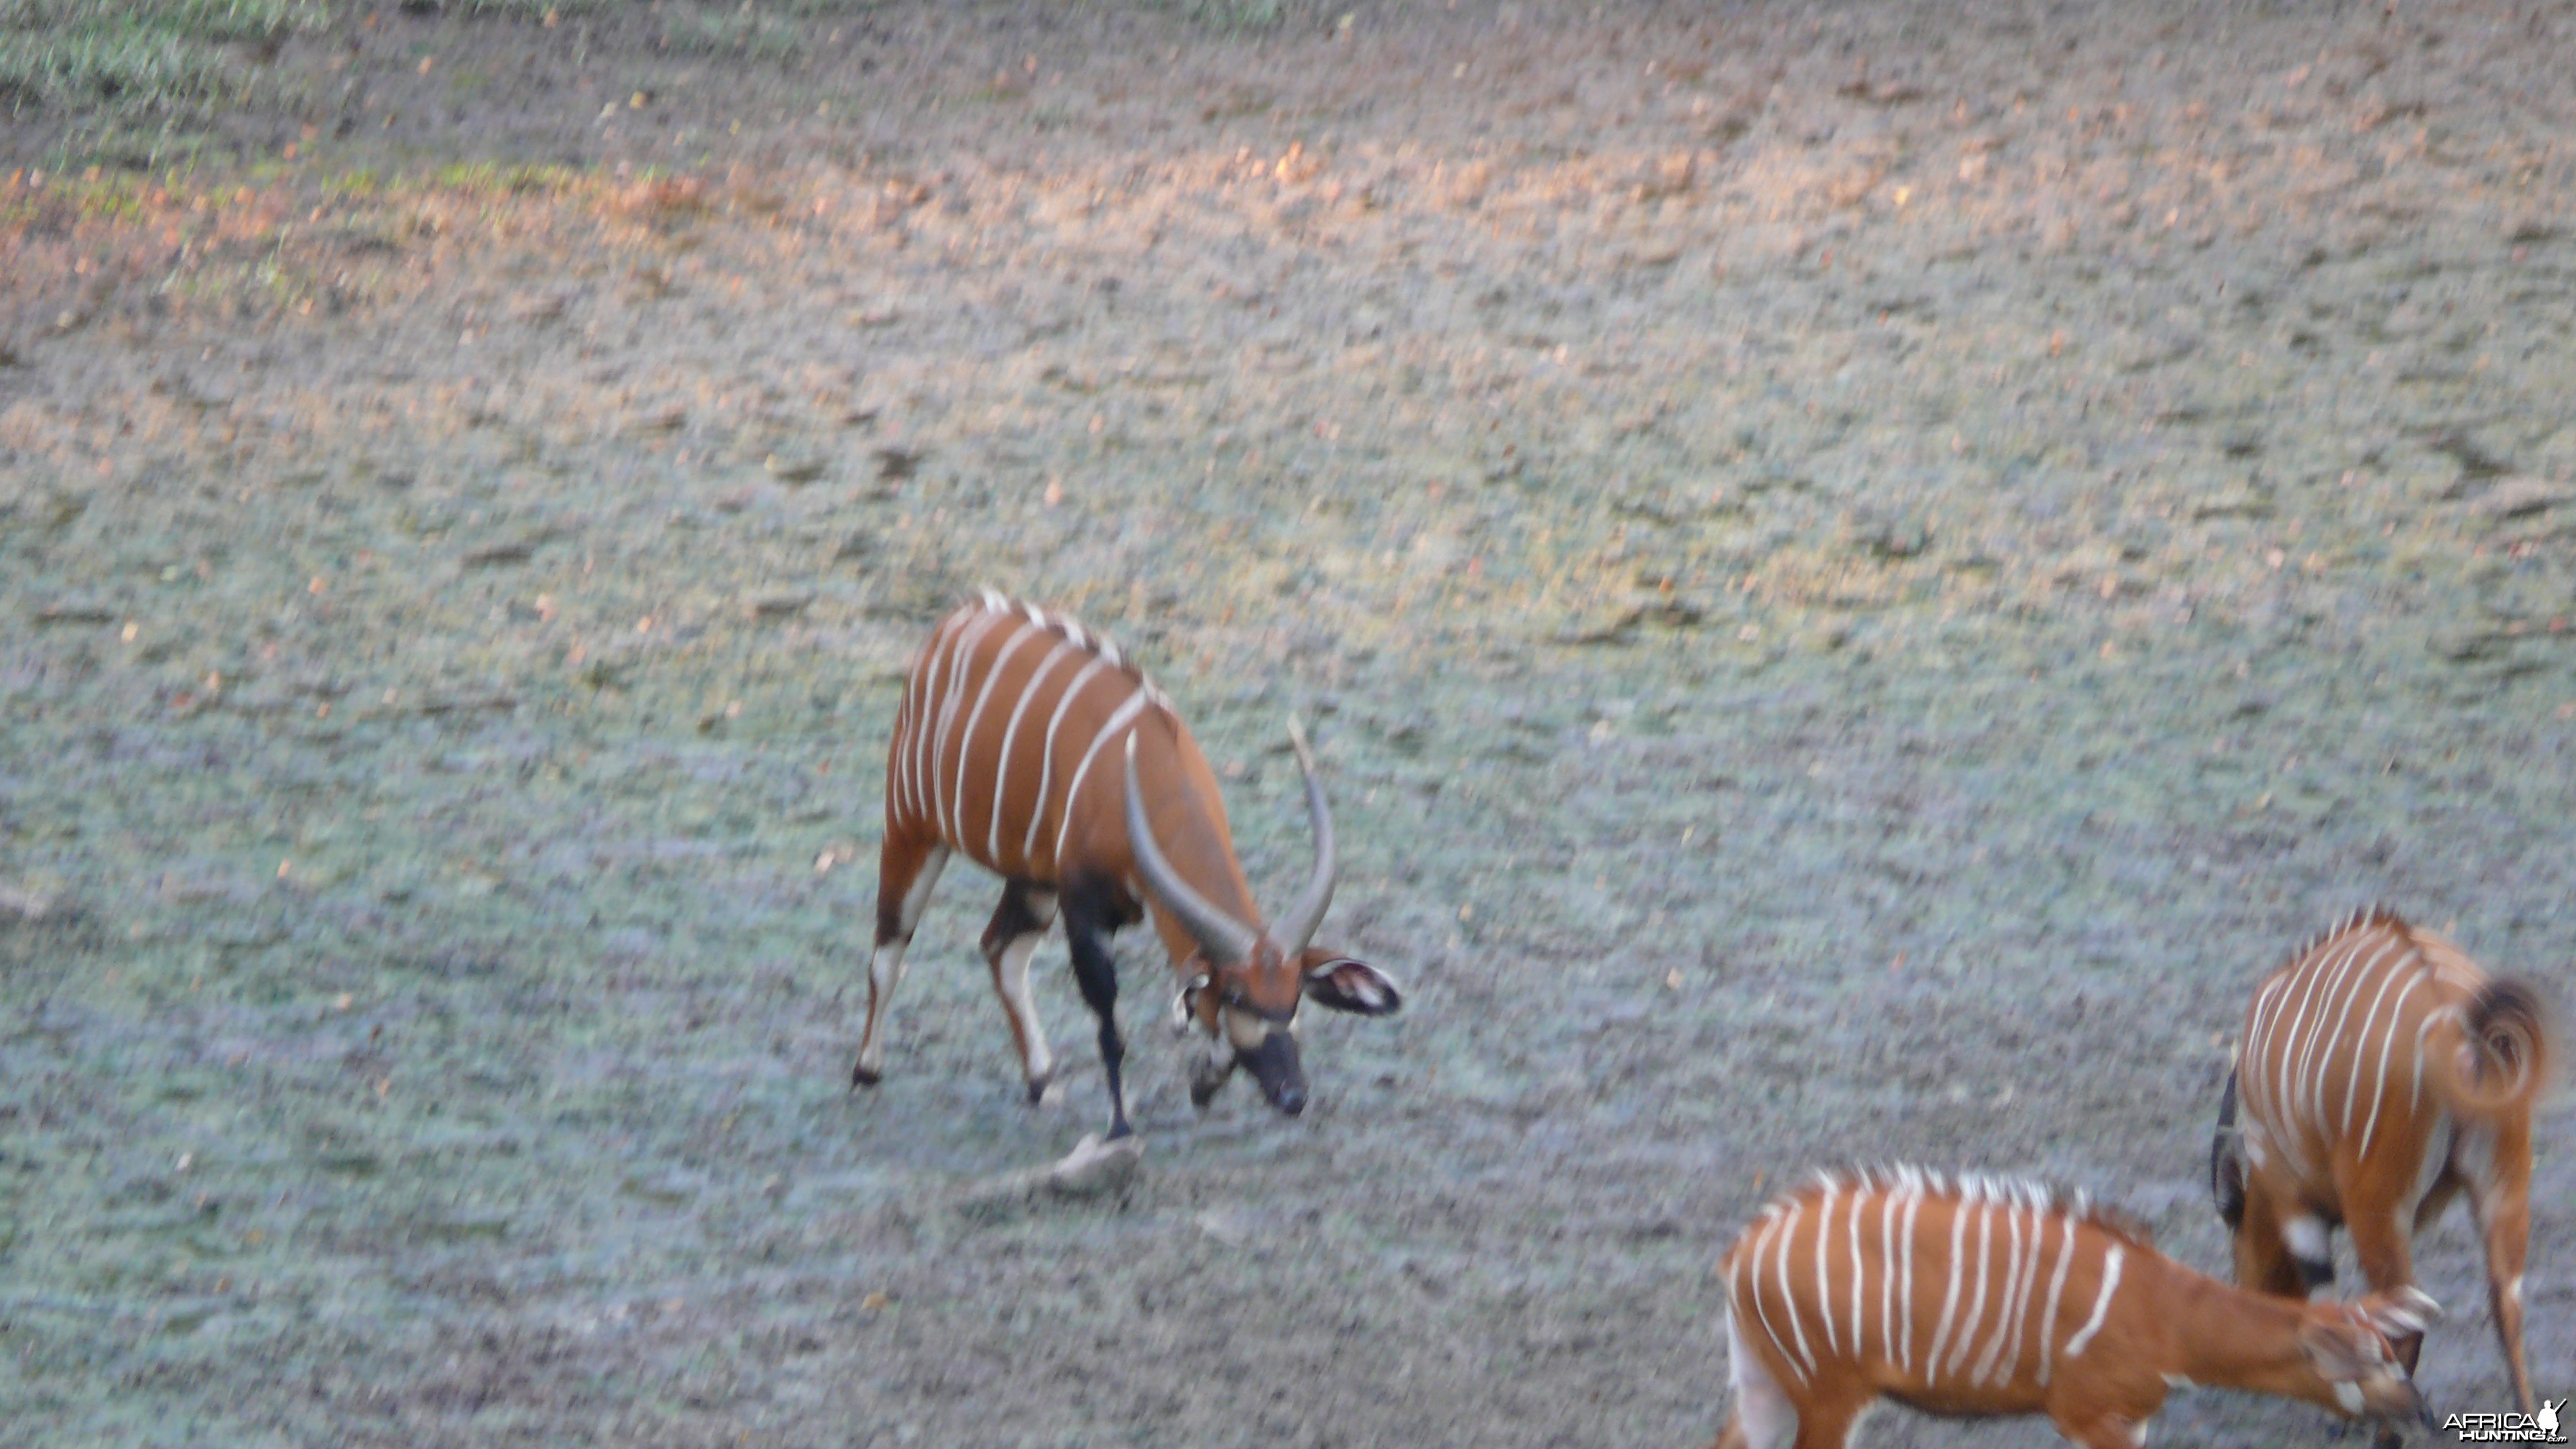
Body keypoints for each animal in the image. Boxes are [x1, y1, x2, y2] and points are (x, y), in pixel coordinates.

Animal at [855, 593, 1401, 1134]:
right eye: (1236, 997)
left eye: (1294, 998)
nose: (1293, 1095)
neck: (1151, 777)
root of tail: (955, 621)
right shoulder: (1084, 910)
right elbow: (1109, 1025)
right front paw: (1120, 1126)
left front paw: (1202, 1083)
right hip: (912, 828)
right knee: (889, 948)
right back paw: (867, 1071)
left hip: (1032, 879)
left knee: (1000, 949)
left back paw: (1042, 1082)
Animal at [1710, 1160, 2432, 1443]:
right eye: (2371, 1360)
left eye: (2391, 1348)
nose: (2420, 1412)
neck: (2164, 1313)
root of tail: (1741, 1252)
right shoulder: (2088, 1415)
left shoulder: (2128, 1419)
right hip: (1830, 1393)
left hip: (1766, 1382)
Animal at [2215, 902, 2555, 1412]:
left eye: (2236, 1247)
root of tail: (2458, 1023)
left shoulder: (2290, 1192)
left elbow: (2329, 1308)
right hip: (2505, 1185)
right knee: (2507, 1309)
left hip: (2376, 1207)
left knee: (2407, 1320)